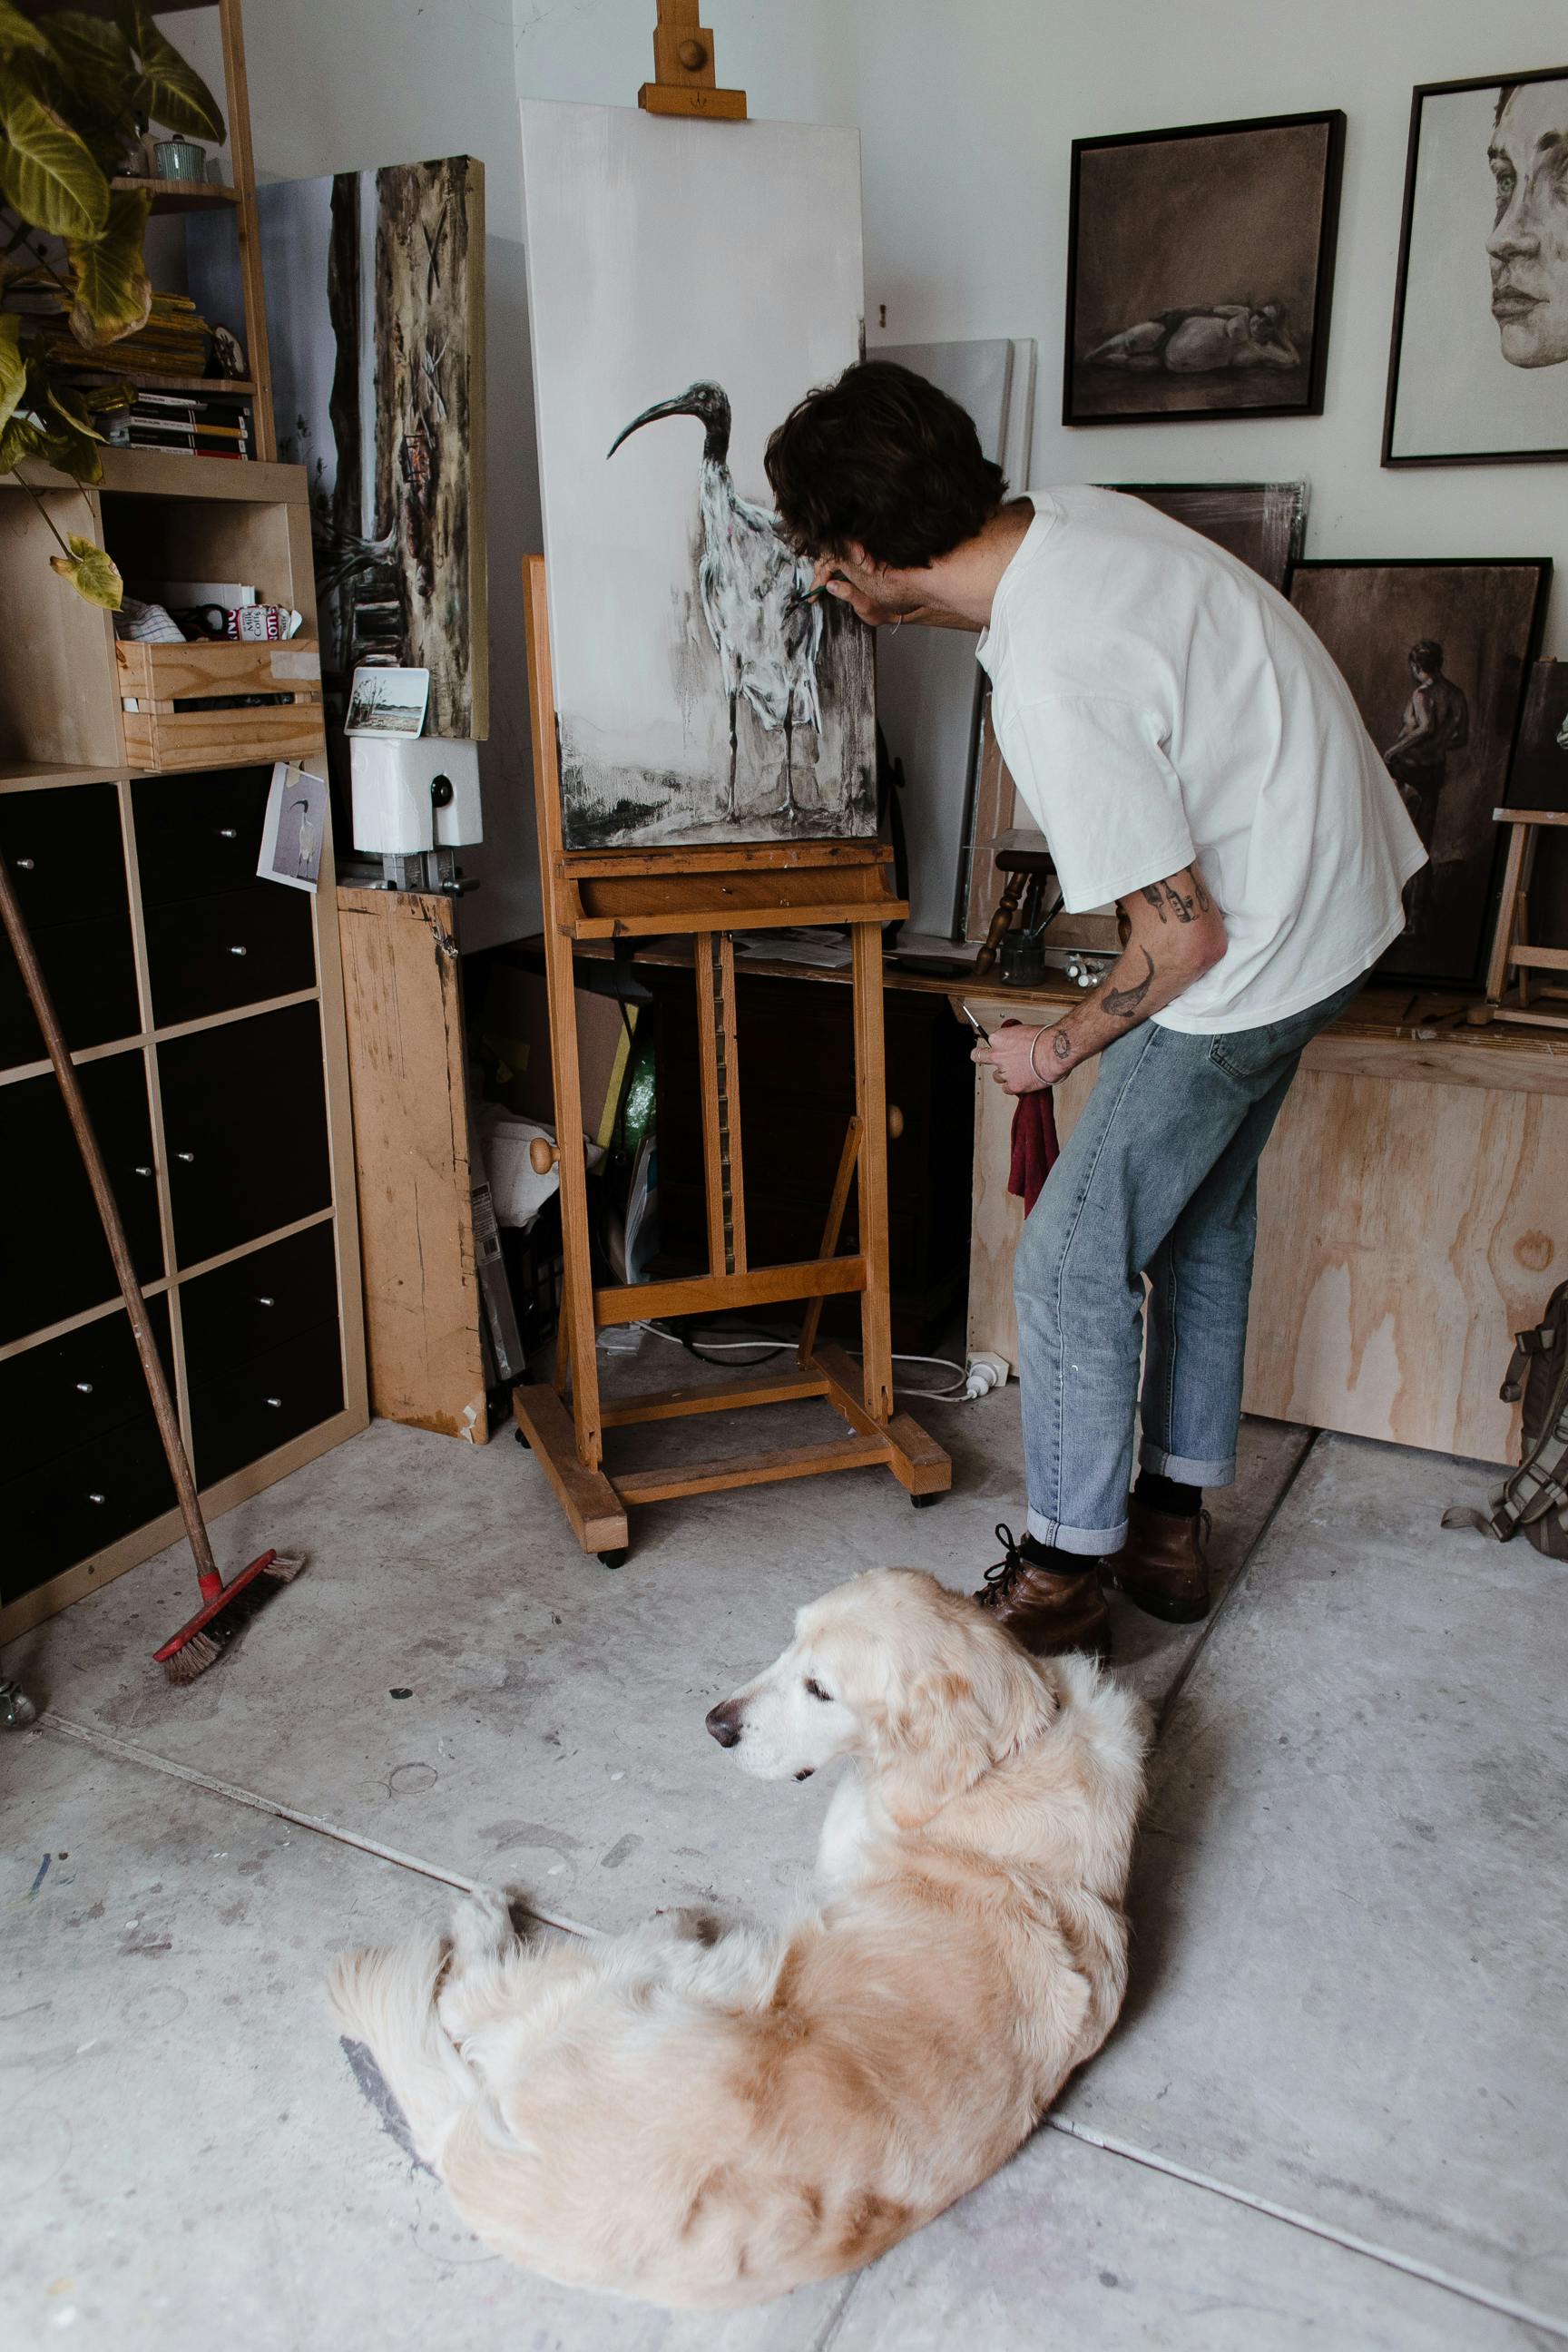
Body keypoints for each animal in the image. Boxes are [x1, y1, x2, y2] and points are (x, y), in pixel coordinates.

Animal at [324, 1571, 1147, 2305]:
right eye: (790, 1641)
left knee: (469, 1999)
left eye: (821, 1690)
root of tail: (495, 2178)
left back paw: (514, 1917)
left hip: (677, 1983)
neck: (1012, 1752)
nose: (715, 1725)